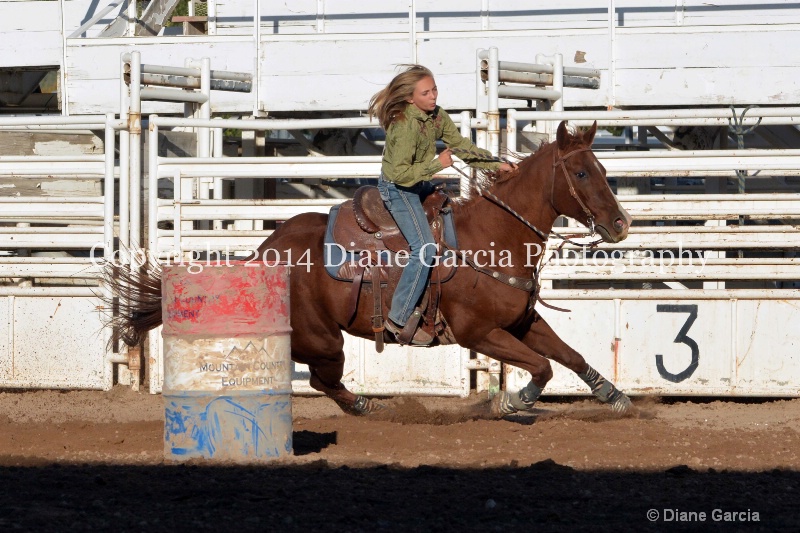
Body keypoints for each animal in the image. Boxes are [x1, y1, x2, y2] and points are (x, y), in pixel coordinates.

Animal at [108, 121, 632, 416]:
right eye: (581, 172)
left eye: (604, 170)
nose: (620, 224)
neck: (491, 238)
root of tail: (264, 253)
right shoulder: (480, 333)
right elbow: (542, 366)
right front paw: (510, 401)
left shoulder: (523, 322)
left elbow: (571, 356)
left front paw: (613, 396)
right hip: (324, 339)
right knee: (321, 378)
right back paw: (363, 404)